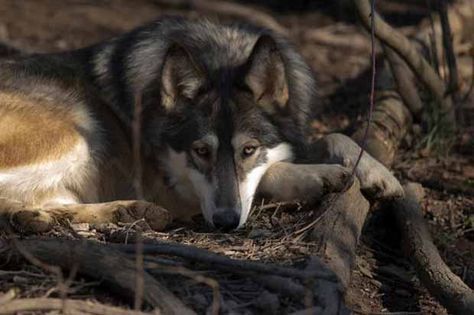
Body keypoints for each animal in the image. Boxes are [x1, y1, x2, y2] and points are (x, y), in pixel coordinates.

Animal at [0, 17, 402, 233]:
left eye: (248, 150)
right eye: (200, 151)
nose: (225, 222)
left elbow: (332, 135)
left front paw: (379, 173)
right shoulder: (168, 185)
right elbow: (272, 173)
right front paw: (320, 175)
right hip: (80, 131)